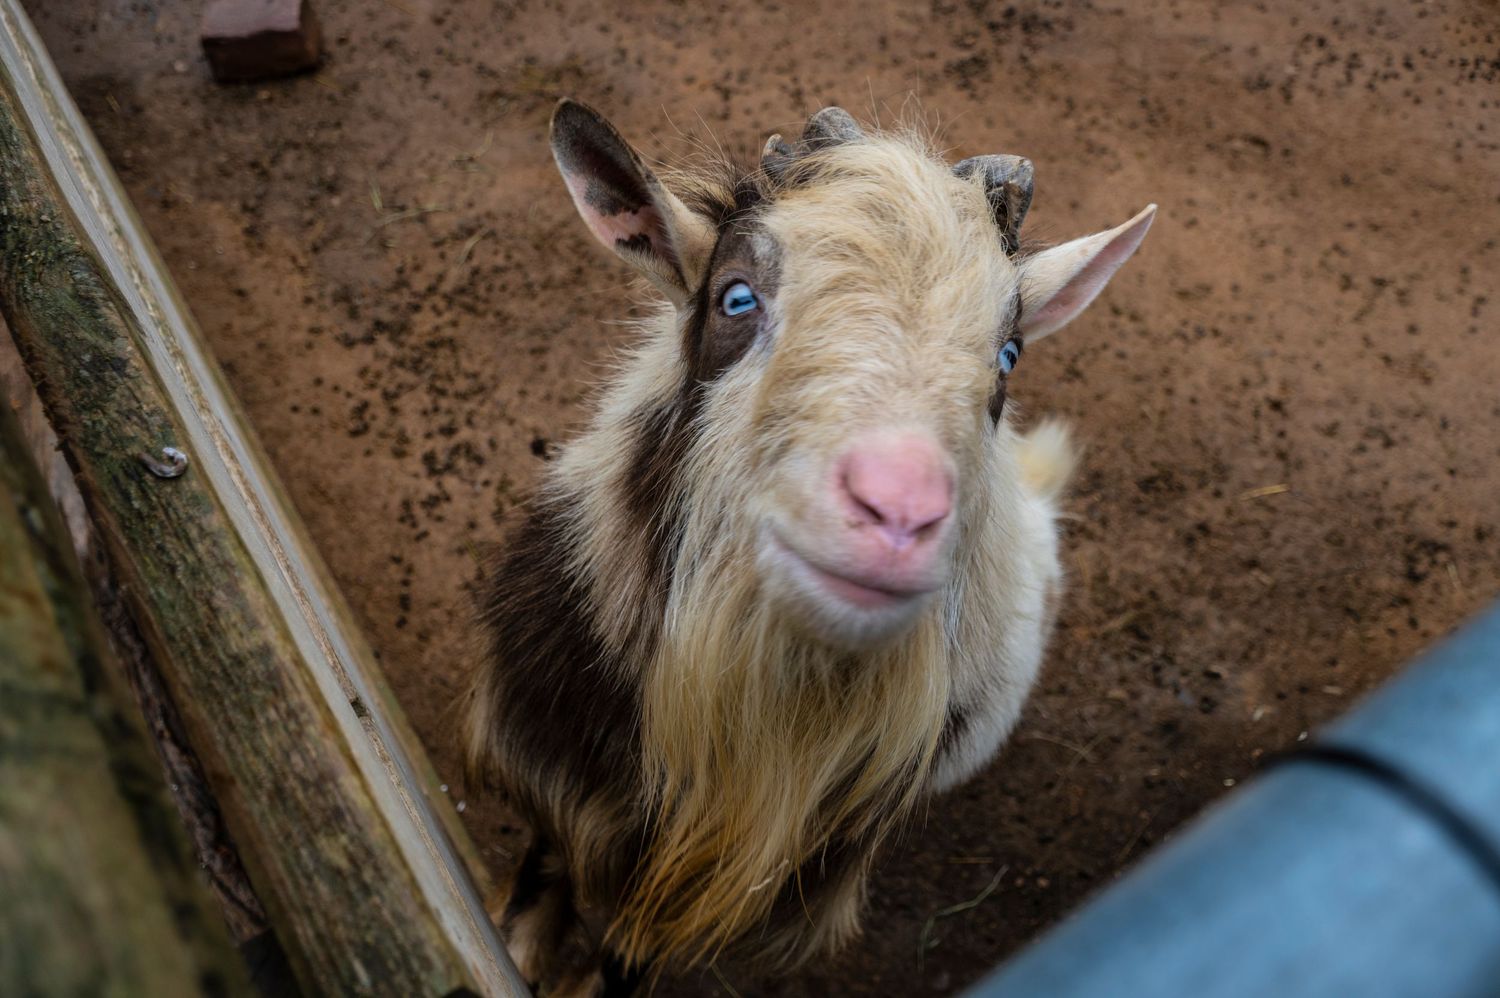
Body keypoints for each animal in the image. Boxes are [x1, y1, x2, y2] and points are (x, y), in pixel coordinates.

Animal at [464, 99, 1155, 996]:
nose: (899, 508)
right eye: (736, 298)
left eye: (1006, 356)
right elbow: (541, 864)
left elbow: (624, 956)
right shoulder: (553, 766)